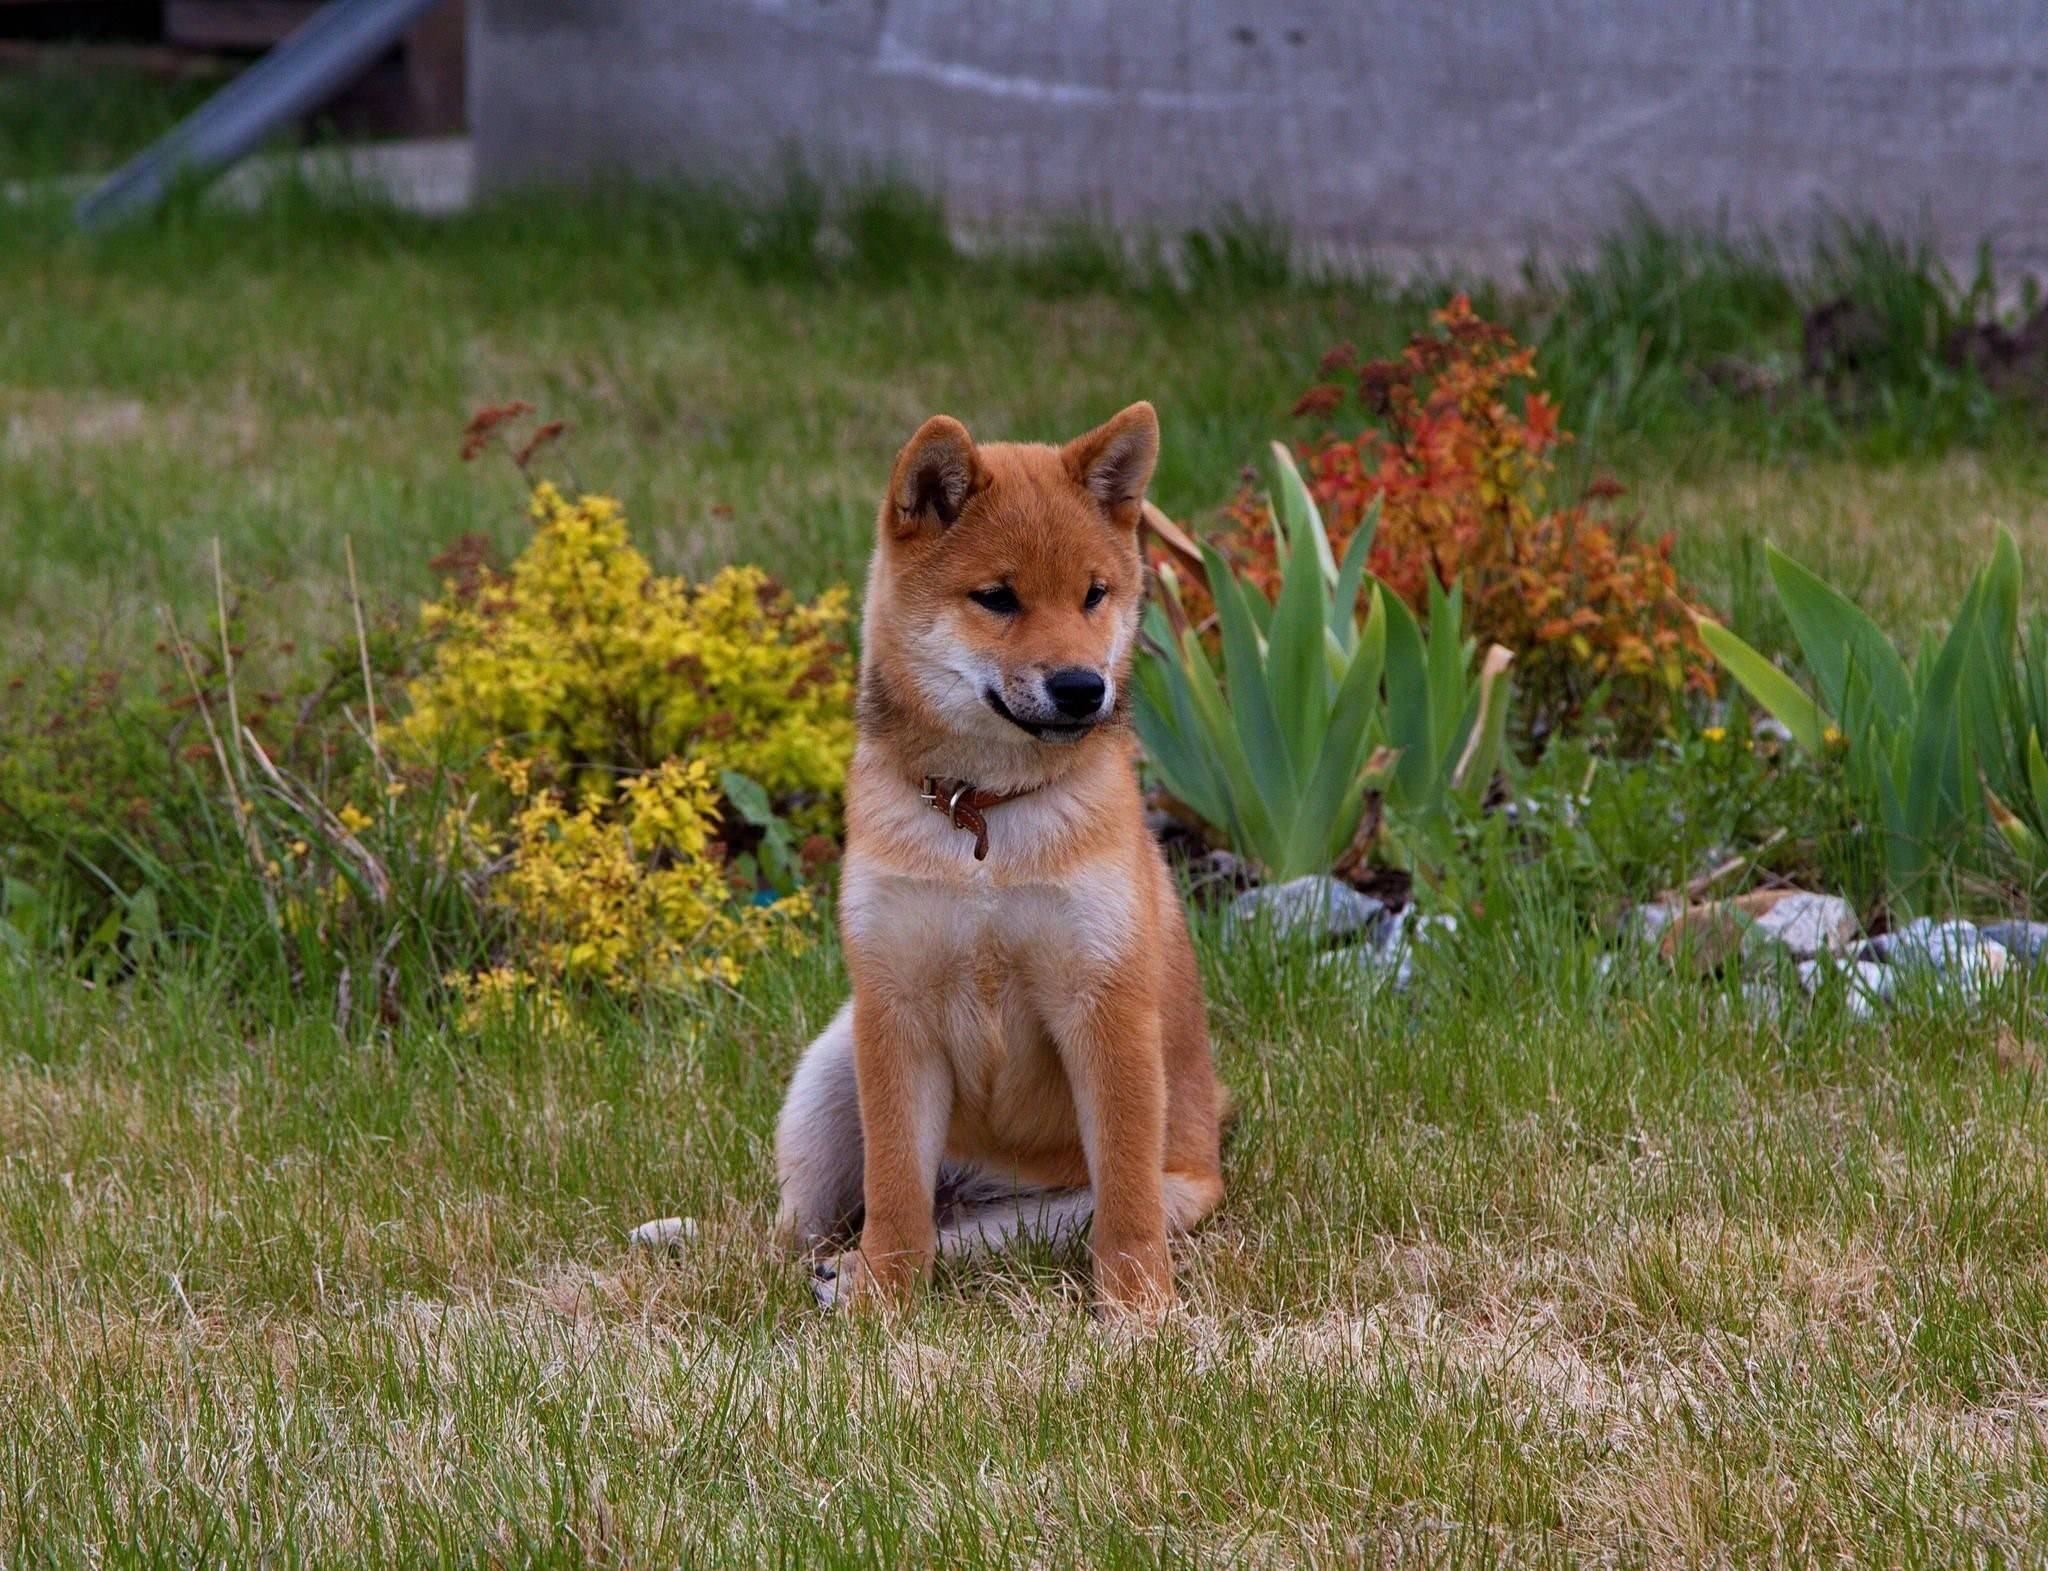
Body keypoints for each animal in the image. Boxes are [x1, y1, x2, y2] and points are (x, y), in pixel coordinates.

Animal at [765, 401, 1212, 1310]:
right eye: (997, 598)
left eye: (1093, 594)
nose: (1082, 686)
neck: (984, 821)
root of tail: (974, 1184)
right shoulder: (894, 1009)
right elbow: (895, 1188)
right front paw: (885, 1299)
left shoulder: (1104, 1003)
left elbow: (1127, 1200)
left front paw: (1140, 1310)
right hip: (833, 1067)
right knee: (813, 1223)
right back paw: (819, 1266)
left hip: (1074, 1206)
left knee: (979, 1236)